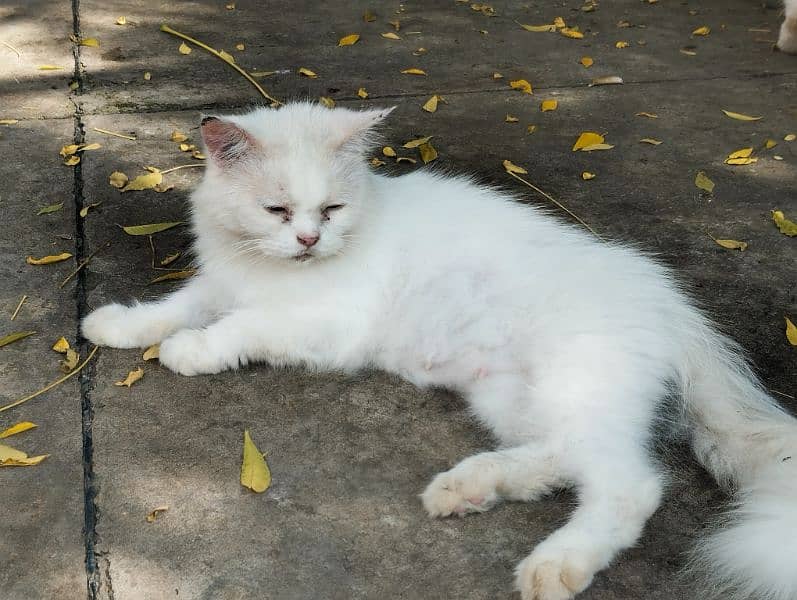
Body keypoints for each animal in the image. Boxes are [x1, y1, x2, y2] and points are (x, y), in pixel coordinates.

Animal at [82, 104, 796, 600]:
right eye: (277, 210)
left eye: (331, 209)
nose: (310, 240)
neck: (267, 268)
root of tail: (670, 299)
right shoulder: (223, 282)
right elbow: (176, 305)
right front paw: (116, 325)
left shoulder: (322, 322)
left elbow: (237, 328)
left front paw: (191, 350)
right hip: (513, 397)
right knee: (563, 456)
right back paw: (470, 487)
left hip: (576, 385)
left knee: (629, 485)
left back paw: (554, 564)